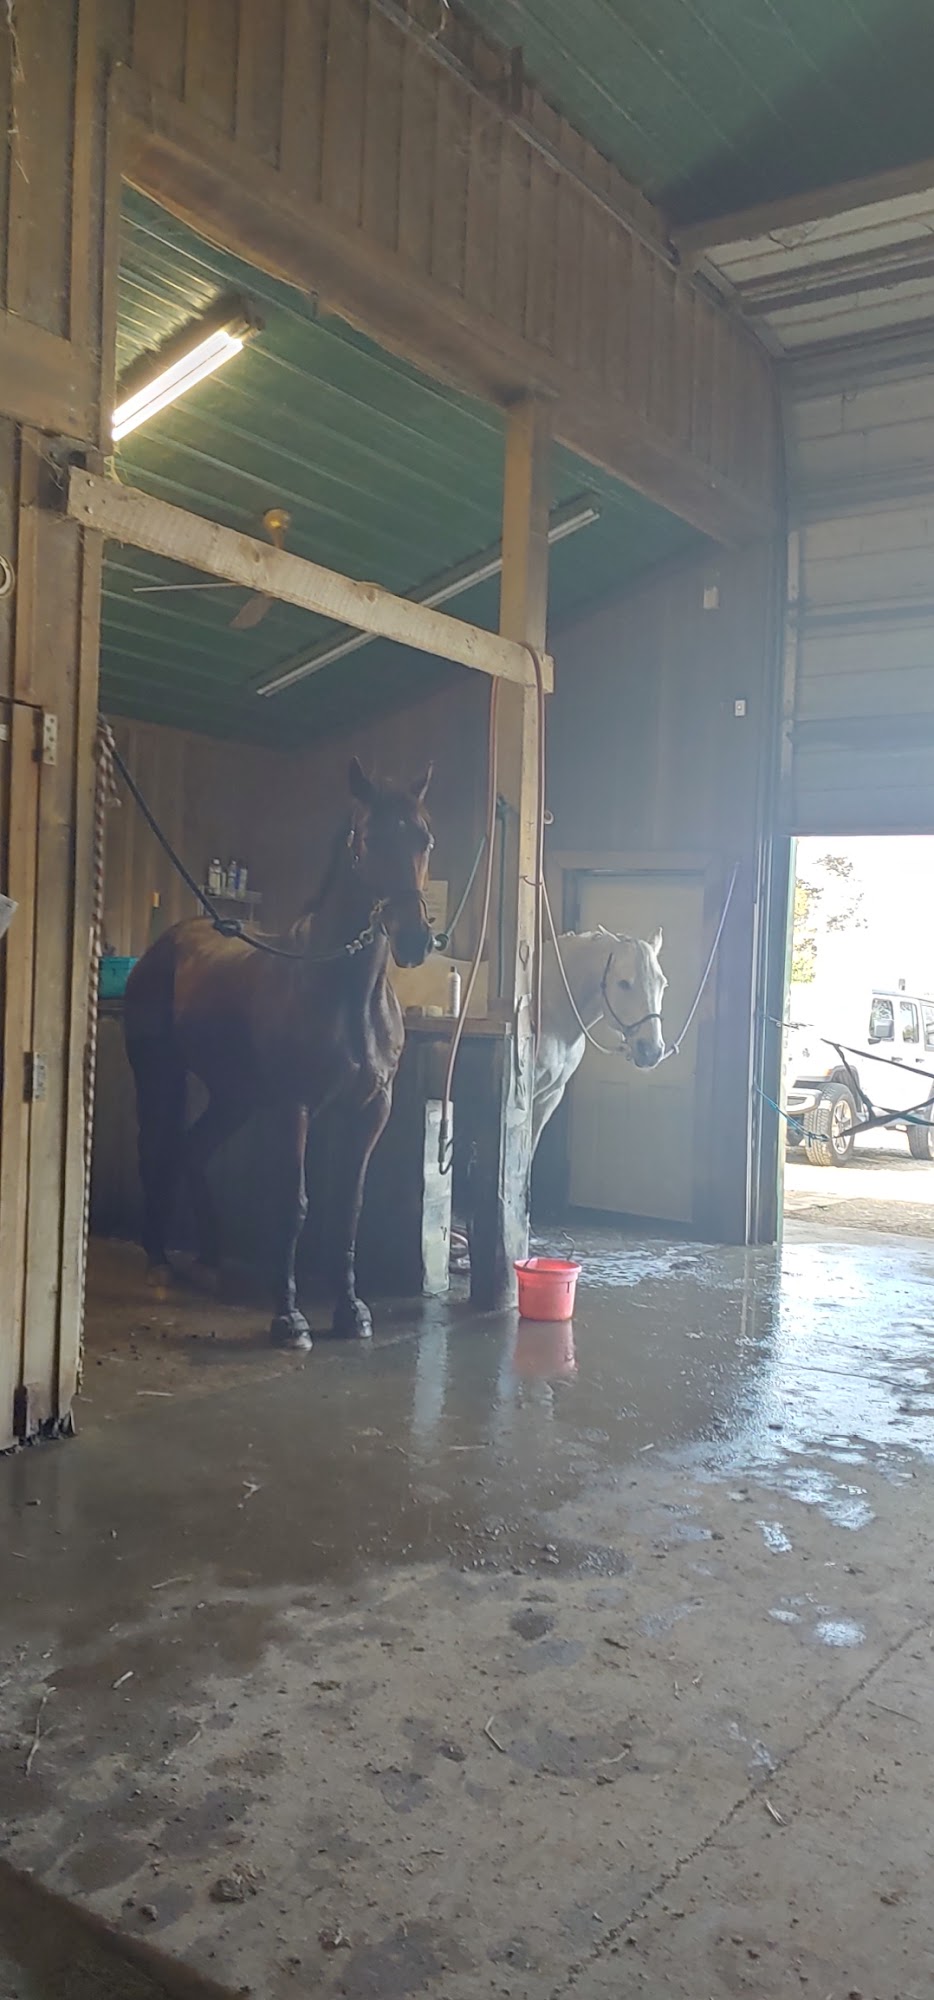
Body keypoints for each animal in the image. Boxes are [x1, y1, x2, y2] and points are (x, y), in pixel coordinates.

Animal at [123, 757, 435, 1351]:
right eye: (368, 838)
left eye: (424, 838)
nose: (414, 940)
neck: (345, 990)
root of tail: (165, 944)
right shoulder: (297, 1107)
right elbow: (295, 1205)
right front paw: (289, 1319)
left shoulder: (369, 1111)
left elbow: (349, 1208)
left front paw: (351, 1312)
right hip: (158, 1076)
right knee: (157, 1151)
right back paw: (158, 1263)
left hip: (234, 1097)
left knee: (194, 1149)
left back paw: (211, 1262)